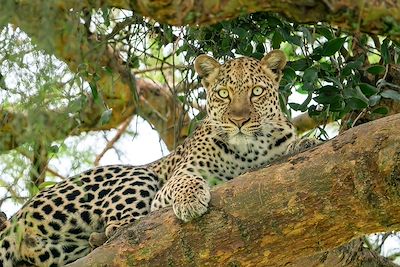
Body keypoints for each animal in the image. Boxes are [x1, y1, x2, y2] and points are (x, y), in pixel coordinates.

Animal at [0, 50, 312, 267]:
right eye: (223, 94)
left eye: (256, 92)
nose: (238, 120)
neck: (250, 149)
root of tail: (16, 216)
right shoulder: (169, 186)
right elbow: (184, 180)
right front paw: (190, 200)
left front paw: (306, 142)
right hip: (134, 175)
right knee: (120, 228)